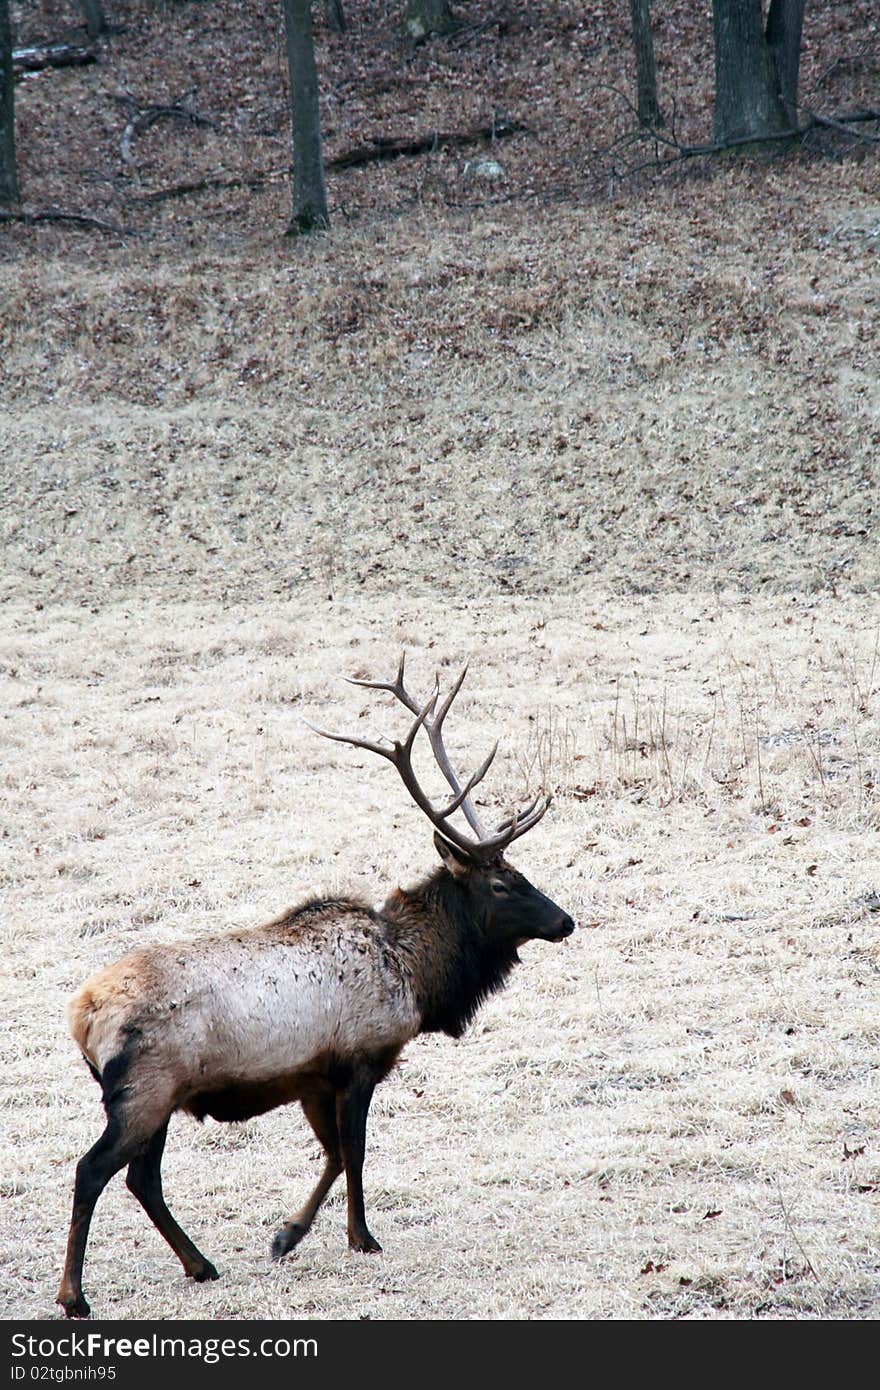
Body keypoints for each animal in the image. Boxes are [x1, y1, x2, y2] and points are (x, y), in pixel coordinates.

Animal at [56, 656, 575, 1317]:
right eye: (503, 884)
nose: (565, 921)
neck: (416, 975)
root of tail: (83, 1013)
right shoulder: (361, 1058)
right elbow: (354, 1150)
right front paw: (362, 1237)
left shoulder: (309, 1077)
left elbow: (330, 1153)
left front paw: (286, 1235)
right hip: (144, 1090)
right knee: (94, 1170)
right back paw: (75, 1295)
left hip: (160, 1098)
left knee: (141, 1178)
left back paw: (200, 1264)